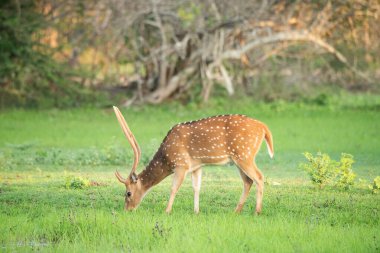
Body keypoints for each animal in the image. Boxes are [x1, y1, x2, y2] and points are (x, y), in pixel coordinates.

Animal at [112, 105, 274, 214]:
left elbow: (174, 187)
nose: (127, 209)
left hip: (244, 154)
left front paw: (167, 211)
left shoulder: (181, 163)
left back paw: (257, 211)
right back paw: (236, 211)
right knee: (248, 181)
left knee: (259, 177)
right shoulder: (197, 166)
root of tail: (264, 128)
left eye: (128, 193)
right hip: (238, 159)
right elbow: (196, 187)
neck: (166, 157)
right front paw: (196, 211)